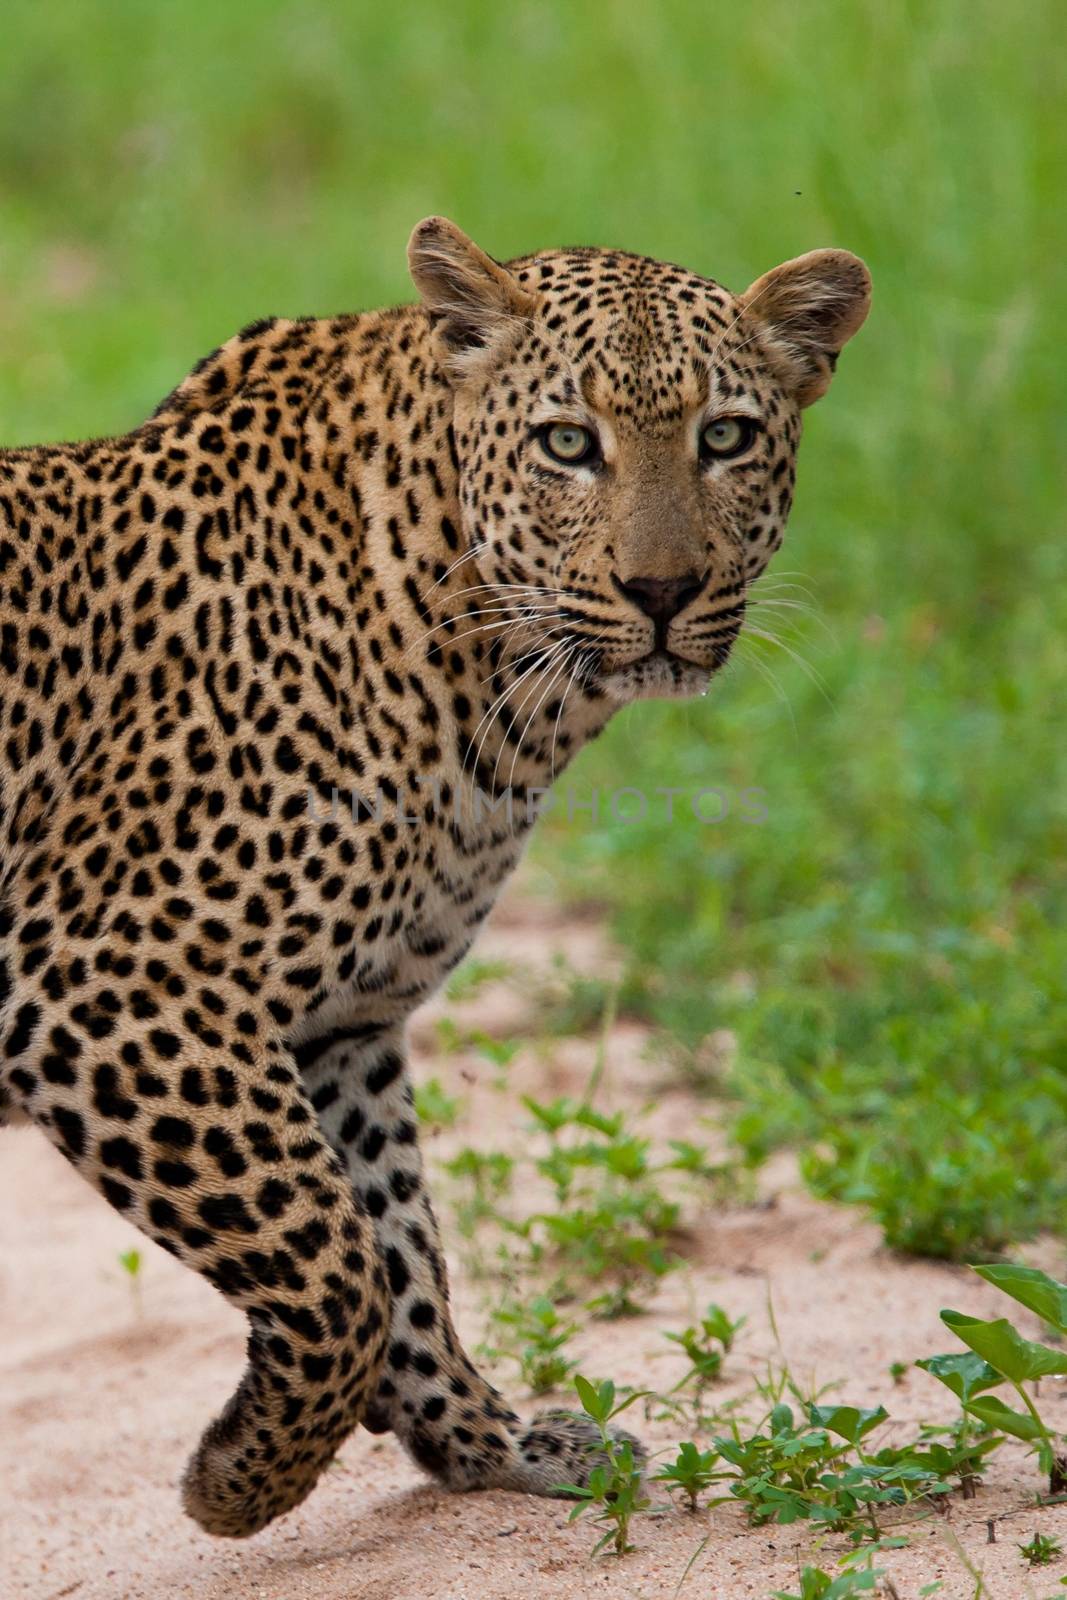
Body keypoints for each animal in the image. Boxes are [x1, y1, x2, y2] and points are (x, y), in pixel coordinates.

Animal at [0, 216, 870, 1536]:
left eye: (723, 437)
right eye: (567, 443)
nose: (661, 591)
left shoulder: (340, 1026)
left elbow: (397, 1249)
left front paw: (487, 1443)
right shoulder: (110, 993)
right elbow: (333, 1268)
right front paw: (238, 1481)